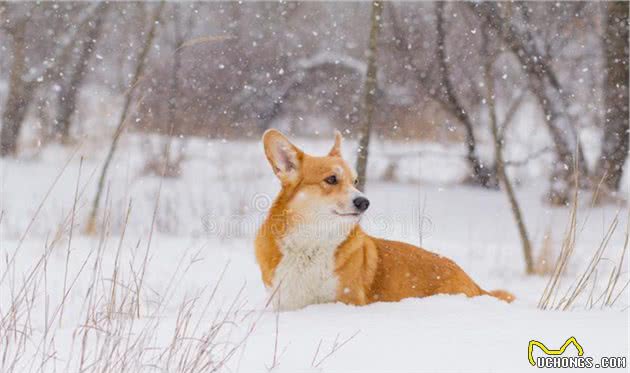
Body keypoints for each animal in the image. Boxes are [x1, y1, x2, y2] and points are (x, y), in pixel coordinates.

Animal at [254, 129, 516, 310]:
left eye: (355, 181)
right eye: (331, 179)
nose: (364, 202)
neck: (310, 245)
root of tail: (476, 285)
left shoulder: (347, 300)